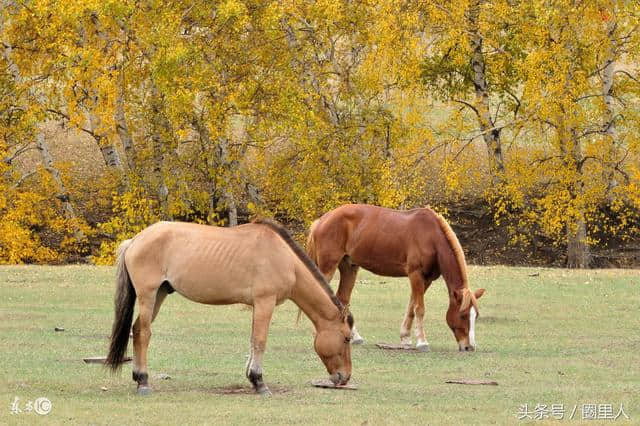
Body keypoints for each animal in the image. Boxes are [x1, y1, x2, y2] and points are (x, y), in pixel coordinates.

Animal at [106, 220, 356, 396]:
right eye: (346, 338)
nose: (344, 377)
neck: (285, 258)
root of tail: (135, 240)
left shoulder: (258, 305)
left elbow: (252, 341)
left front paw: (252, 378)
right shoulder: (265, 302)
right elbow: (260, 341)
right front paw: (259, 382)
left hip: (159, 294)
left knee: (137, 330)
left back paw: (138, 377)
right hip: (148, 295)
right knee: (144, 334)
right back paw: (144, 382)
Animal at [306, 205, 484, 352]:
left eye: (476, 316)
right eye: (463, 315)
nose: (469, 347)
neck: (430, 237)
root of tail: (322, 220)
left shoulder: (426, 279)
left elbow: (411, 307)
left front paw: (405, 337)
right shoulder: (415, 274)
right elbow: (419, 308)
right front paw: (422, 342)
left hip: (349, 267)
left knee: (342, 299)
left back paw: (354, 337)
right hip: (328, 268)